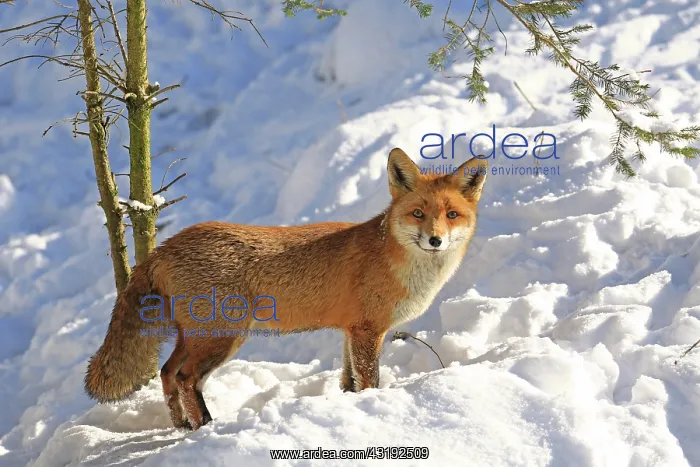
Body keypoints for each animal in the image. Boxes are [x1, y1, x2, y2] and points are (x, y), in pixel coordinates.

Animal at [84, 147, 488, 430]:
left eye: (451, 215)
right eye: (418, 214)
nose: (435, 240)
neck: (394, 260)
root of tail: (165, 245)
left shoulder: (350, 330)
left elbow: (348, 381)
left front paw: (348, 405)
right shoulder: (368, 330)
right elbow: (369, 380)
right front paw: (372, 406)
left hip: (197, 335)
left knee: (168, 373)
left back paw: (182, 427)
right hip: (223, 337)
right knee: (184, 378)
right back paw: (203, 428)